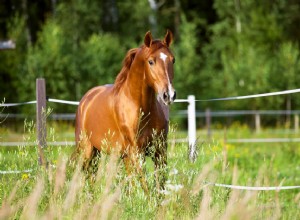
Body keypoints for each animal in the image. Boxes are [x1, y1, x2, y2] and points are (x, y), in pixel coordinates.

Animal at [74, 30, 176, 192]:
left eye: (173, 60)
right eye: (151, 61)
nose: (169, 95)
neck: (141, 108)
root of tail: (85, 100)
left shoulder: (160, 150)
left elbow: (159, 185)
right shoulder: (136, 152)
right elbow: (146, 186)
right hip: (87, 151)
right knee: (86, 175)